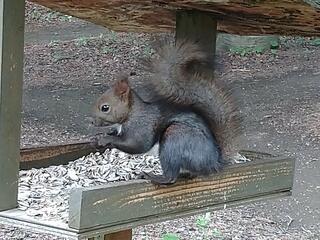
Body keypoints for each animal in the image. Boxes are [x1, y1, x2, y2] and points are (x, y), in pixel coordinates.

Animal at [91, 74, 224, 185]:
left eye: (105, 108)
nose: (92, 122)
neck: (131, 113)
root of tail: (213, 162)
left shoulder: (142, 127)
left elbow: (136, 145)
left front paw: (106, 139)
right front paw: (99, 138)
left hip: (175, 138)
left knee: (171, 177)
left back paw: (152, 176)